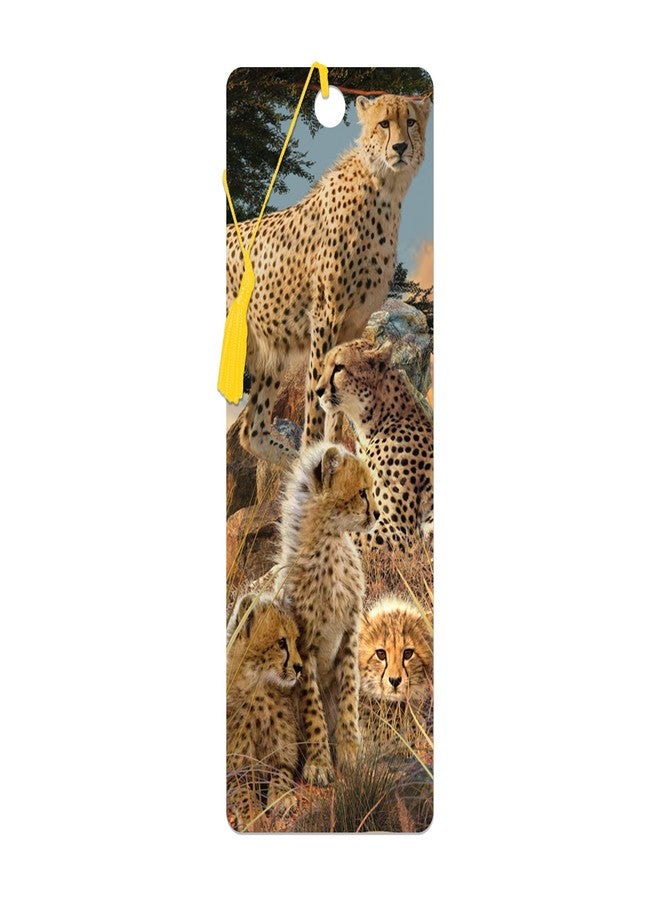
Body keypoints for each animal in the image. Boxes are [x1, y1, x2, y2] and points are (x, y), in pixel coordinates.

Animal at [226, 93, 432, 465]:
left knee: (253, 431)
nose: (399, 147)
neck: (383, 187)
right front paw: (313, 450)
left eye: (410, 121)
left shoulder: (354, 321)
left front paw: (333, 452)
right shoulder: (325, 314)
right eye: (384, 123)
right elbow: (314, 396)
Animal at [226, 593, 303, 831]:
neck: (259, 685)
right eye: (281, 643)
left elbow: (281, 772)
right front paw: (254, 817)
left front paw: (281, 798)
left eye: (296, 641)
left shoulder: (285, 753)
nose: (300, 667)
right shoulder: (233, 765)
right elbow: (242, 790)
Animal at [272, 441, 376, 786]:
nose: (377, 513)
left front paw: (350, 753)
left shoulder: (349, 636)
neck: (330, 543)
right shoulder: (302, 648)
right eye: (361, 492)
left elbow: (348, 698)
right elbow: (312, 708)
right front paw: (319, 764)